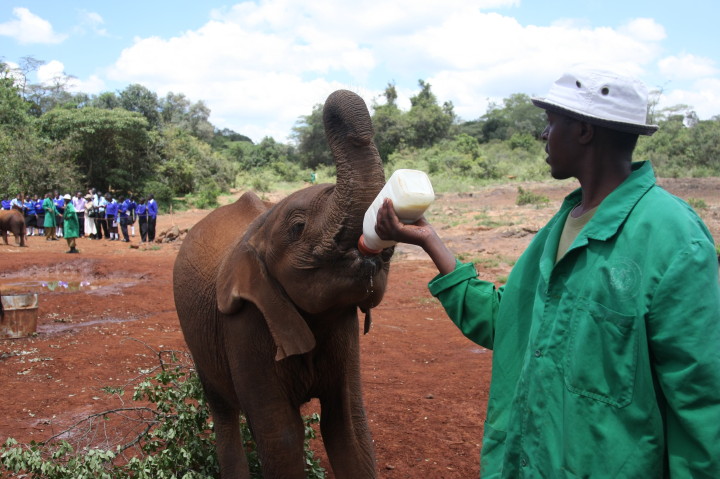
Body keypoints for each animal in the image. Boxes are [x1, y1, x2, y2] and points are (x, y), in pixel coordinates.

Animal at [173, 90, 393, 479]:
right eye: (298, 227)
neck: (259, 229)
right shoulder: (244, 323)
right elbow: (282, 437)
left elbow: (349, 427)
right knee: (224, 412)